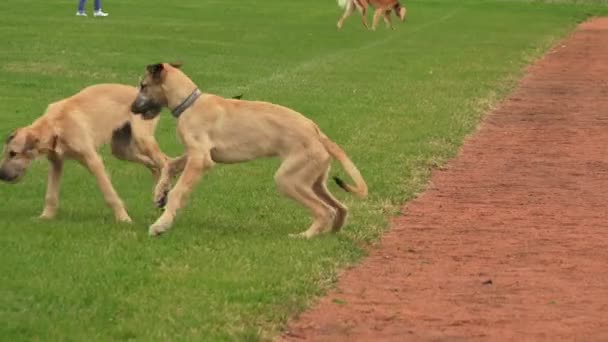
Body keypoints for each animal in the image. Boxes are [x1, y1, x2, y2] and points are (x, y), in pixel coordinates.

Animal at [0, 83, 169, 222]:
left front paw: (123, 218)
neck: (56, 124)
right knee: (155, 166)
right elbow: (51, 194)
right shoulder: (56, 162)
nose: (1, 175)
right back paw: (160, 196)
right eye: (7, 153)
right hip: (122, 150)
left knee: (166, 161)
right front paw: (46, 217)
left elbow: (109, 194)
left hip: (143, 139)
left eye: (13, 153)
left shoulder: (94, 161)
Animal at [129, 63, 366, 238]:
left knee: (324, 211)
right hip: (314, 180)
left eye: (143, 85)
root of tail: (316, 132)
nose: (131, 109)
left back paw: (305, 236)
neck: (189, 103)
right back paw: (332, 234)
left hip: (289, 179)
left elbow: (178, 191)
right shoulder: (196, 153)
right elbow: (170, 164)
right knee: (340, 208)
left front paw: (162, 223)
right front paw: (160, 192)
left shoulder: (200, 159)